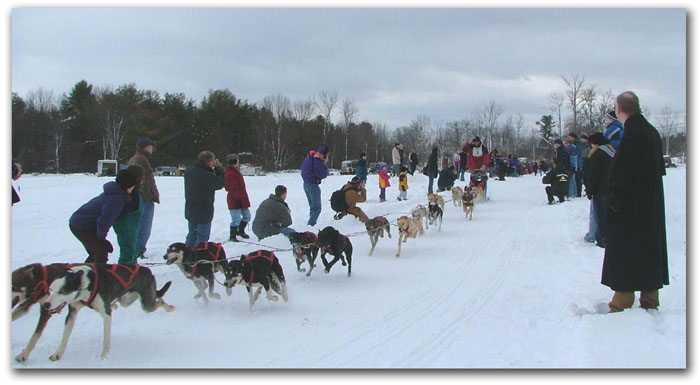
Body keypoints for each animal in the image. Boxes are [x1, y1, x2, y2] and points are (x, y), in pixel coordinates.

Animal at [42, 262, 175, 358]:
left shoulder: (106, 314)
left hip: (146, 305)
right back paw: (115, 304)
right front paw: (58, 353)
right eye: (50, 289)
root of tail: (147, 269)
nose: (46, 304)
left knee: (158, 301)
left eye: (62, 291)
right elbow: (65, 336)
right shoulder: (72, 313)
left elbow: (106, 338)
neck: (86, 283)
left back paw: (169, 308)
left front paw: (104, 356)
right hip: (126, 300)